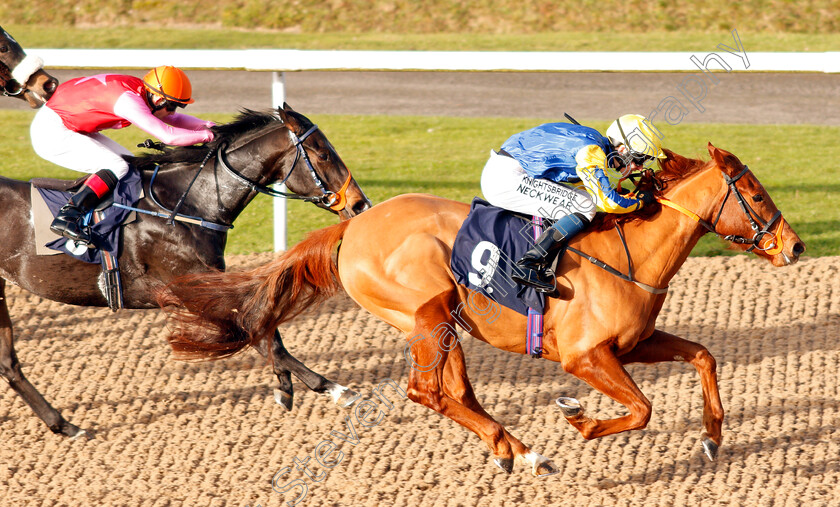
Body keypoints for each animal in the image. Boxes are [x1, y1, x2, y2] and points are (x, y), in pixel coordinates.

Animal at [0, 105, 370, 438]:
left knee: (8, 364)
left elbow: (265, 328)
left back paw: (64, 425)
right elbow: (259, 329)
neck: (186, 206)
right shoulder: (189, 287)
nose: (360, 204)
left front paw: (288, 385)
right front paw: (333, 389)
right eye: (323, 154)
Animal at [159, 144, 808, 476]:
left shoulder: (634, 344)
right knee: (426, 390)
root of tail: (353, 225)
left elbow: (702, 356)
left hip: (441, 322)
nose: (795, 246)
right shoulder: (584, 356)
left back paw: (514, 449)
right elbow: (642, 409)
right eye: (754, 194)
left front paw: (713, 440)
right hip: (427, 309)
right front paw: (579, 418)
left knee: (455, 392)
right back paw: (523, 449)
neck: (632, 254)